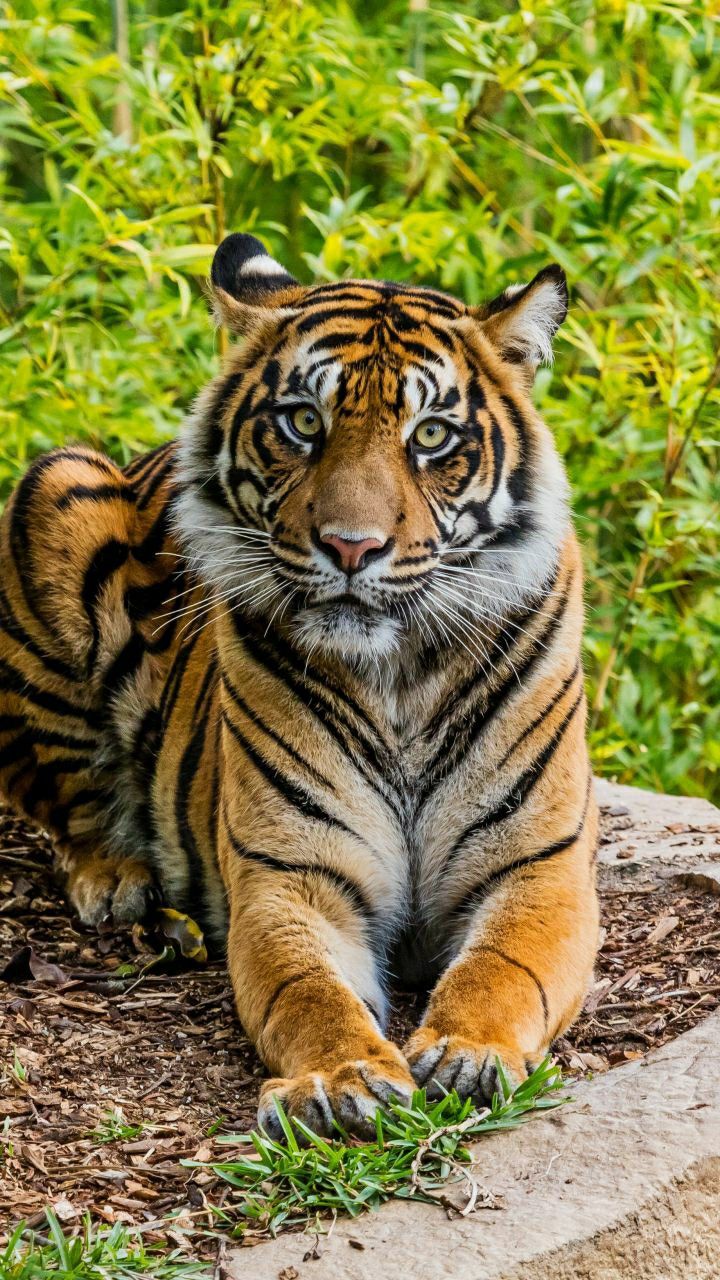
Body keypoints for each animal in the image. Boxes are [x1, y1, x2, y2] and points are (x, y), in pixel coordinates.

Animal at [0, 232, 598, 1136]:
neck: (400, 677)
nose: (351, 547)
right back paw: (122, 884)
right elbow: (308, 990)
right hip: (54, 483)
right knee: (69, 803)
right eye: (304, 422)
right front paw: (341, 1078)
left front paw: (470, 1051)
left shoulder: (540, 866)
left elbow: (503, 967)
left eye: (431, 434)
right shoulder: (291, 878)